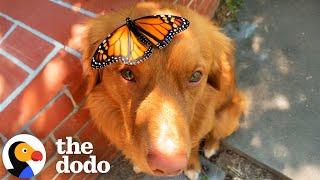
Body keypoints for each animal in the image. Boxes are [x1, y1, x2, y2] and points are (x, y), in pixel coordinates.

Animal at [80, 1, 245, 179]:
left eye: (196, 76)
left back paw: (210, 146)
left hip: (226, 118)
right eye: (128, 73)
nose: (168, 166)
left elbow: (194, 144)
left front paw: (192, 164)